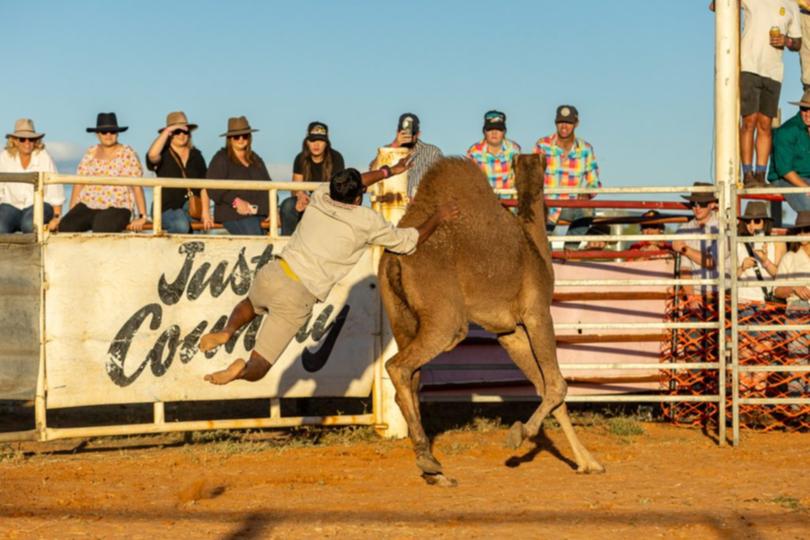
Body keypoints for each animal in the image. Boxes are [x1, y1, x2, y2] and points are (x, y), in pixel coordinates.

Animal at [378, 155, 600, 486]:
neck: (535, 247)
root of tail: (396, 255)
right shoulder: (537, 313)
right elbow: (557, 385)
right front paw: (519, 435)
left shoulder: (509, 332)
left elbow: (546, 388)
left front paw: (589, 463)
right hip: (447, 318)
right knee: (399, 366)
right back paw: (429, 461)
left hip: (400, 318)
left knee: (409, 377)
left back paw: (432, 466)